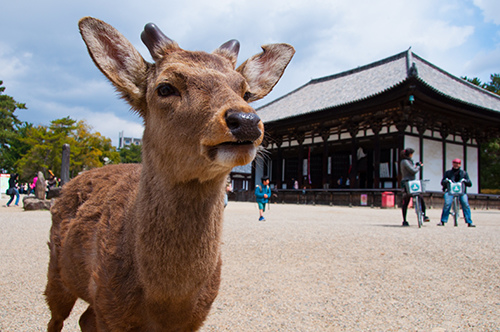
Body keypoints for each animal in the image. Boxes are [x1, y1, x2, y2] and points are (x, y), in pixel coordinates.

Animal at [45, 16, 294, 330]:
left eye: (245, 91)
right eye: (165, 88)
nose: (246, 120)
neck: (165, 301)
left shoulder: (194, 319)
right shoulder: (112, 310)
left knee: (85, 318)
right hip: (56, 274)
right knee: (57, 319)